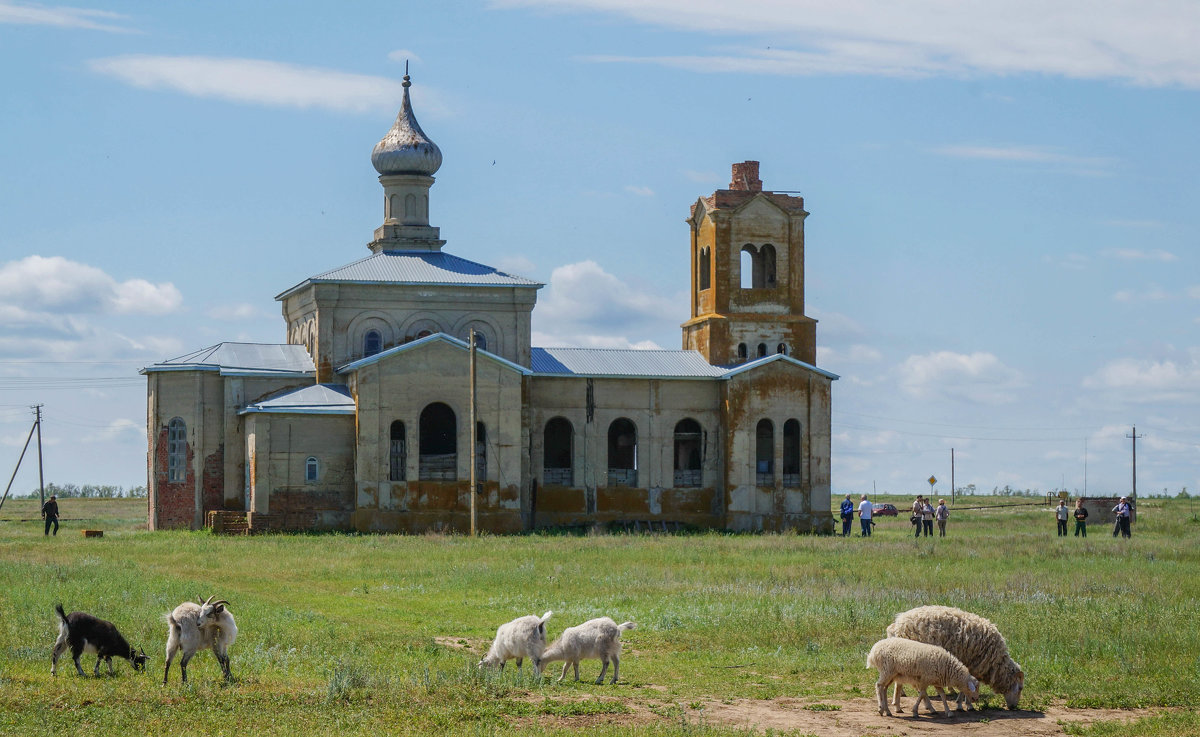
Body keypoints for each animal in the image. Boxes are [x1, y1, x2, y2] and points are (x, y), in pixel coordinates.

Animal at [888, 607, 1027, 710]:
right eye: (1020, 688)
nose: (1013, 707)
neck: (995, 663)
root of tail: (898, 623)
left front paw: (963, 702)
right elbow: (965, 687)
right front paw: (965, 704)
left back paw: (897, 702)